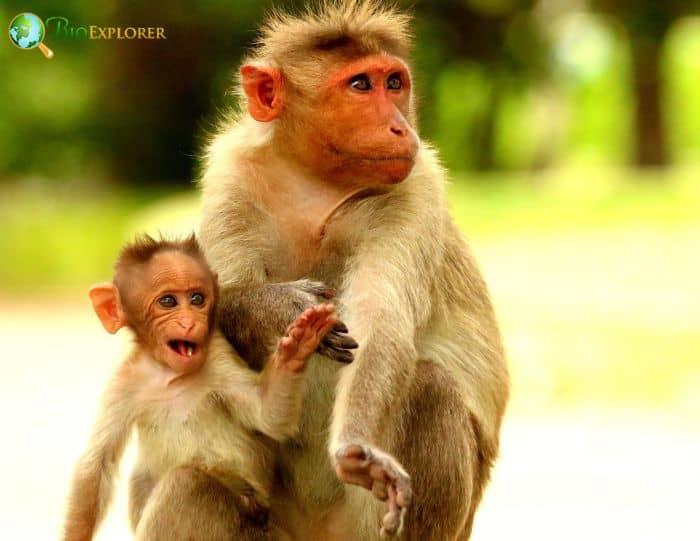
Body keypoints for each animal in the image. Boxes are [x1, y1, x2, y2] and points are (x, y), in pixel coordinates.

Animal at [60, 235, 341, 541]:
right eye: (168, 301)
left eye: (197, 299)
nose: (189, 321)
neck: (171, 377)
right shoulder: (123, 385)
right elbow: (97, 464)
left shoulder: (218, 358)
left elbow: (268, 416)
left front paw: (297, 348)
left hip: (246, 526)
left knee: (185, 483)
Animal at [178, 2, 508, 540]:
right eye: (360, 85)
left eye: (394, 82)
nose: (400, 128)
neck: (314, 183)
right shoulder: (232, 179)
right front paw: (275, 307)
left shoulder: (414, 191)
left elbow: (381, 321)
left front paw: (356, 449)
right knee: (193, 482)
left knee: (430, 388)